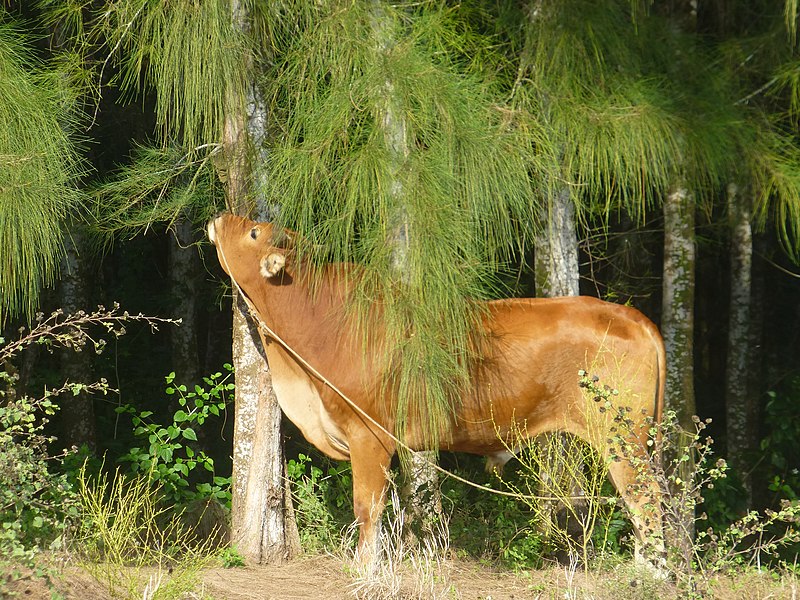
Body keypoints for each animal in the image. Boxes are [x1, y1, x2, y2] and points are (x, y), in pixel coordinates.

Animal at [206, 214, 664, 564]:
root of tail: (632, 316)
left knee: (649, 506)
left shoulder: (369, 435)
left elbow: (367, 509)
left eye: (253, 232)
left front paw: (364, 570)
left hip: (622, 440)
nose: (221, 217)